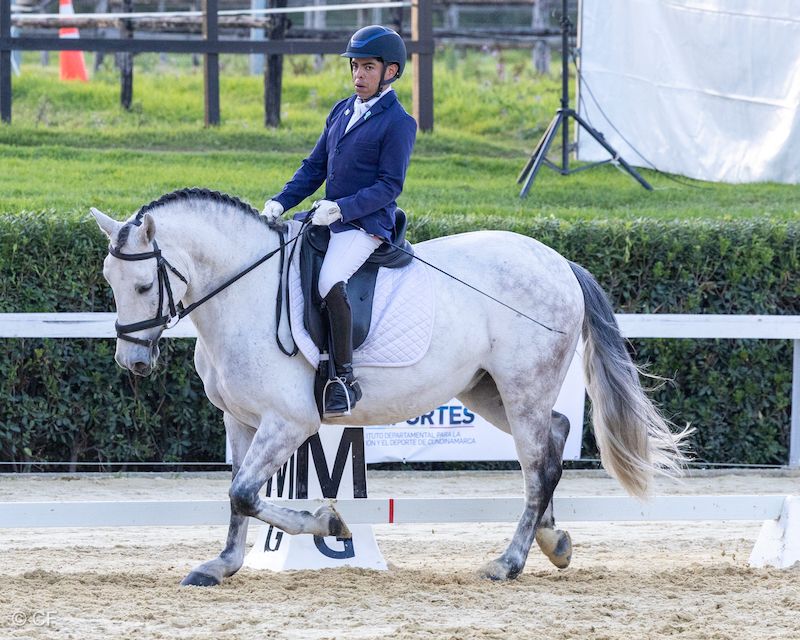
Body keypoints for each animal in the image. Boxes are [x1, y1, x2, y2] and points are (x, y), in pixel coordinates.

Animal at [90, 188, 687, 586]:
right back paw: (554, 542)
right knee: (554, 439)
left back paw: (508, 562)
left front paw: (329, 522)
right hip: (487, 390)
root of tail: (559, 261)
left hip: (523, 387)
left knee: (539, 465)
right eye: (109, 281)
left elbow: (244, 493)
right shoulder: (239, 419)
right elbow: (238, 495)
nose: (132, 362)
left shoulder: (288, 421)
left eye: (142, 285)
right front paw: (222, 565)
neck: (246, 292)